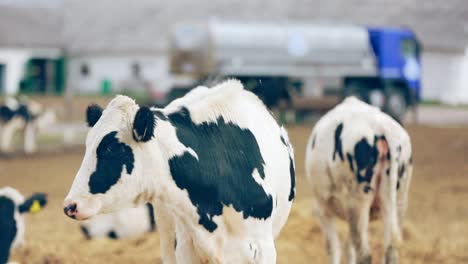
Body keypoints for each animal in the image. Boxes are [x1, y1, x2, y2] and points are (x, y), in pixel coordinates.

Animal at [308, 97, 414, 264]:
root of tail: (381, 126)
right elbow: (347, 247)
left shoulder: (324, 210)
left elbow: (333, 248)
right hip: (399, 199)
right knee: (390, 250)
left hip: (357, 201)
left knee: (364, 254)